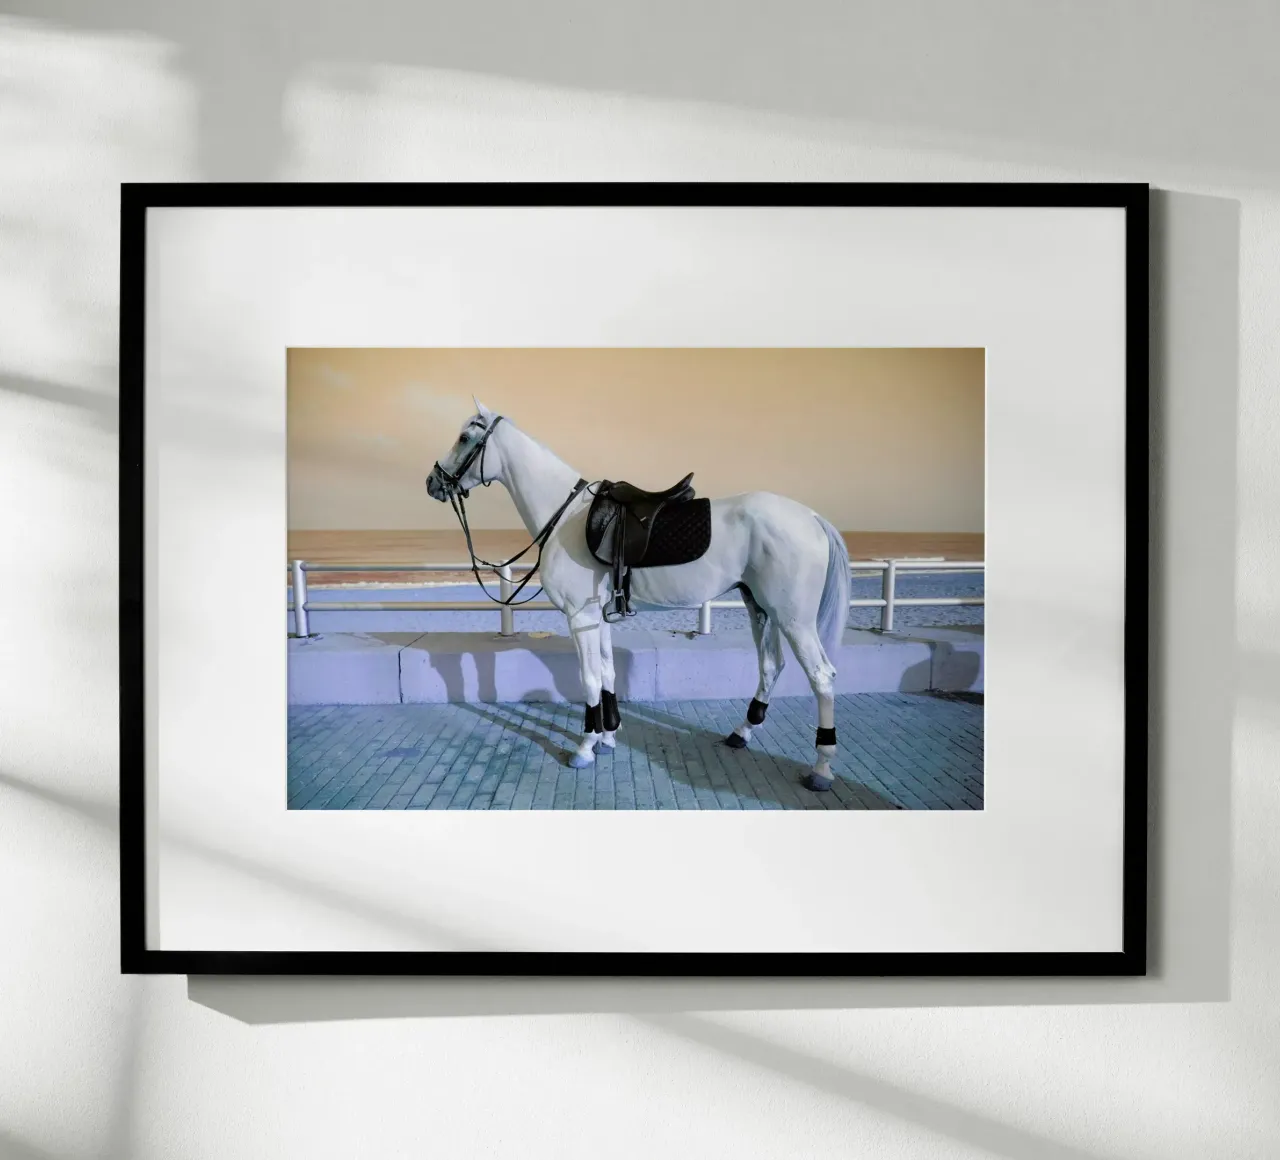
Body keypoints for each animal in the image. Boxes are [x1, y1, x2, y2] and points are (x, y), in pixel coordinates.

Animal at [425, 401, 851, 792]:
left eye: (464, 438)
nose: (433, 482)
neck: (565, 518)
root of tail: (812, 517)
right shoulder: (598, 618)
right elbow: (607, 673)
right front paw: (608, 736)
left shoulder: (580, 618)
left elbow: (589, 679)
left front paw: (585, 747)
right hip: (760, 607)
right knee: (771, 667)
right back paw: (740, 733)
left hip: (794, 619)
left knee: (822, 677)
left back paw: (821, 767)